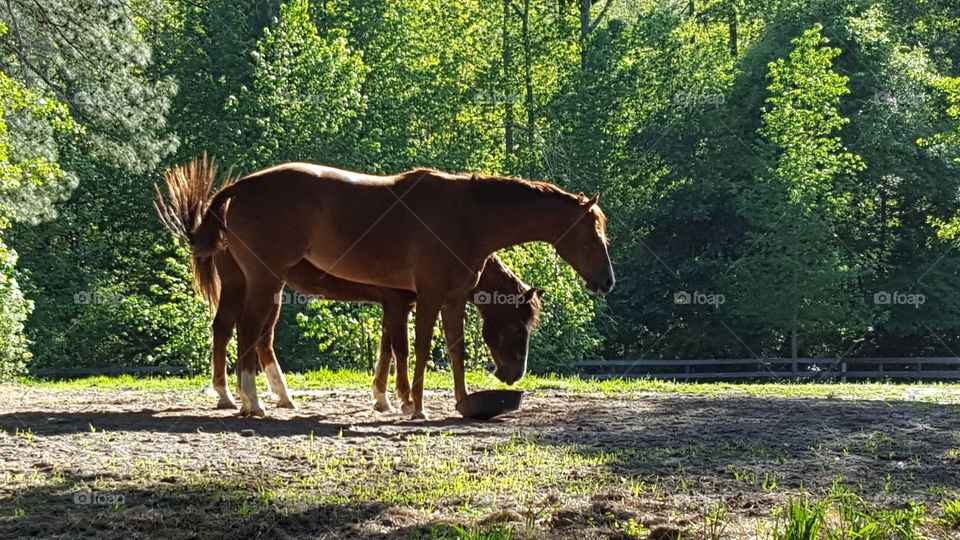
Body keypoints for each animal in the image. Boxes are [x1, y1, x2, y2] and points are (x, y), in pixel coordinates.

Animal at [209, 248, 540, 414]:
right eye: (517, 325)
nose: (514, 374)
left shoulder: (393, 305)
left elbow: (386, 349)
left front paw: (382, 399)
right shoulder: (397, 303)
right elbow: (399, 349)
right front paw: (404, 402)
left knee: (252, 336)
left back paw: (273, 397)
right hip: (248, 286)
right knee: (233, 329)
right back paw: (233, 397)